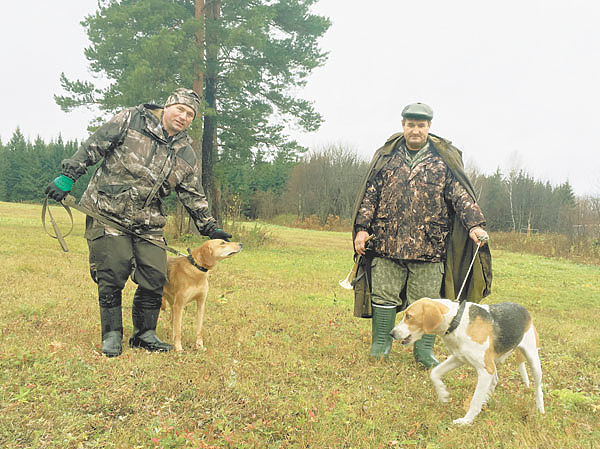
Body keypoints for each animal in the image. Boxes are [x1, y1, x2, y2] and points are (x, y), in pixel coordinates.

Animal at [390, 298, 544, 424]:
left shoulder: (484, 370)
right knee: (495, 380)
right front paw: (443, 394)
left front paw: (466, 421)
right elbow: (434, 373)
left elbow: (474, 400)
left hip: (532, 360)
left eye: (409, 316)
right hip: (492, 363)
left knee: (538, 389)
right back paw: (486, 401)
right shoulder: (458, 358)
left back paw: (540, 409)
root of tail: (525, 310)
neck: (456, 321)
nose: (392, 333)